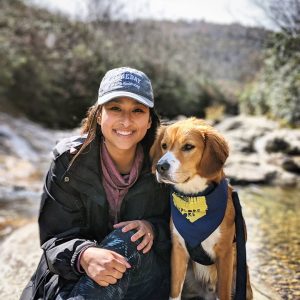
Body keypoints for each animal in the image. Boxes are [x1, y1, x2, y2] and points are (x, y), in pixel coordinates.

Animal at [150, 118, 253, 300]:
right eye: (164, 145)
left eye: (188, 147)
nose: (160, 166)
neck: (194, 198)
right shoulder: (178, 250)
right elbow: (174, 291)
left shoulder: (225, 253)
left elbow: (224, 293)